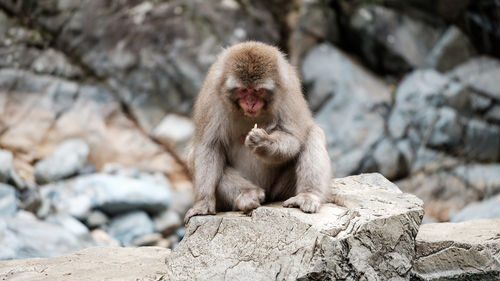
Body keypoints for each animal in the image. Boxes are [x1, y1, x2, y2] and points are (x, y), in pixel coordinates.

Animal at [185, 40, 332, 222]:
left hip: (279, 190)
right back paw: (250, 194)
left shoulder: (288, 90)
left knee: (313, 134)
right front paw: (203, 203)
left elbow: (293, 137)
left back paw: (308, 195)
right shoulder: (211, 96)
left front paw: (264, 143)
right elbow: (208, 146)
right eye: (243, 90)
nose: (251, 103)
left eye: (258, 91)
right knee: (194, 155)